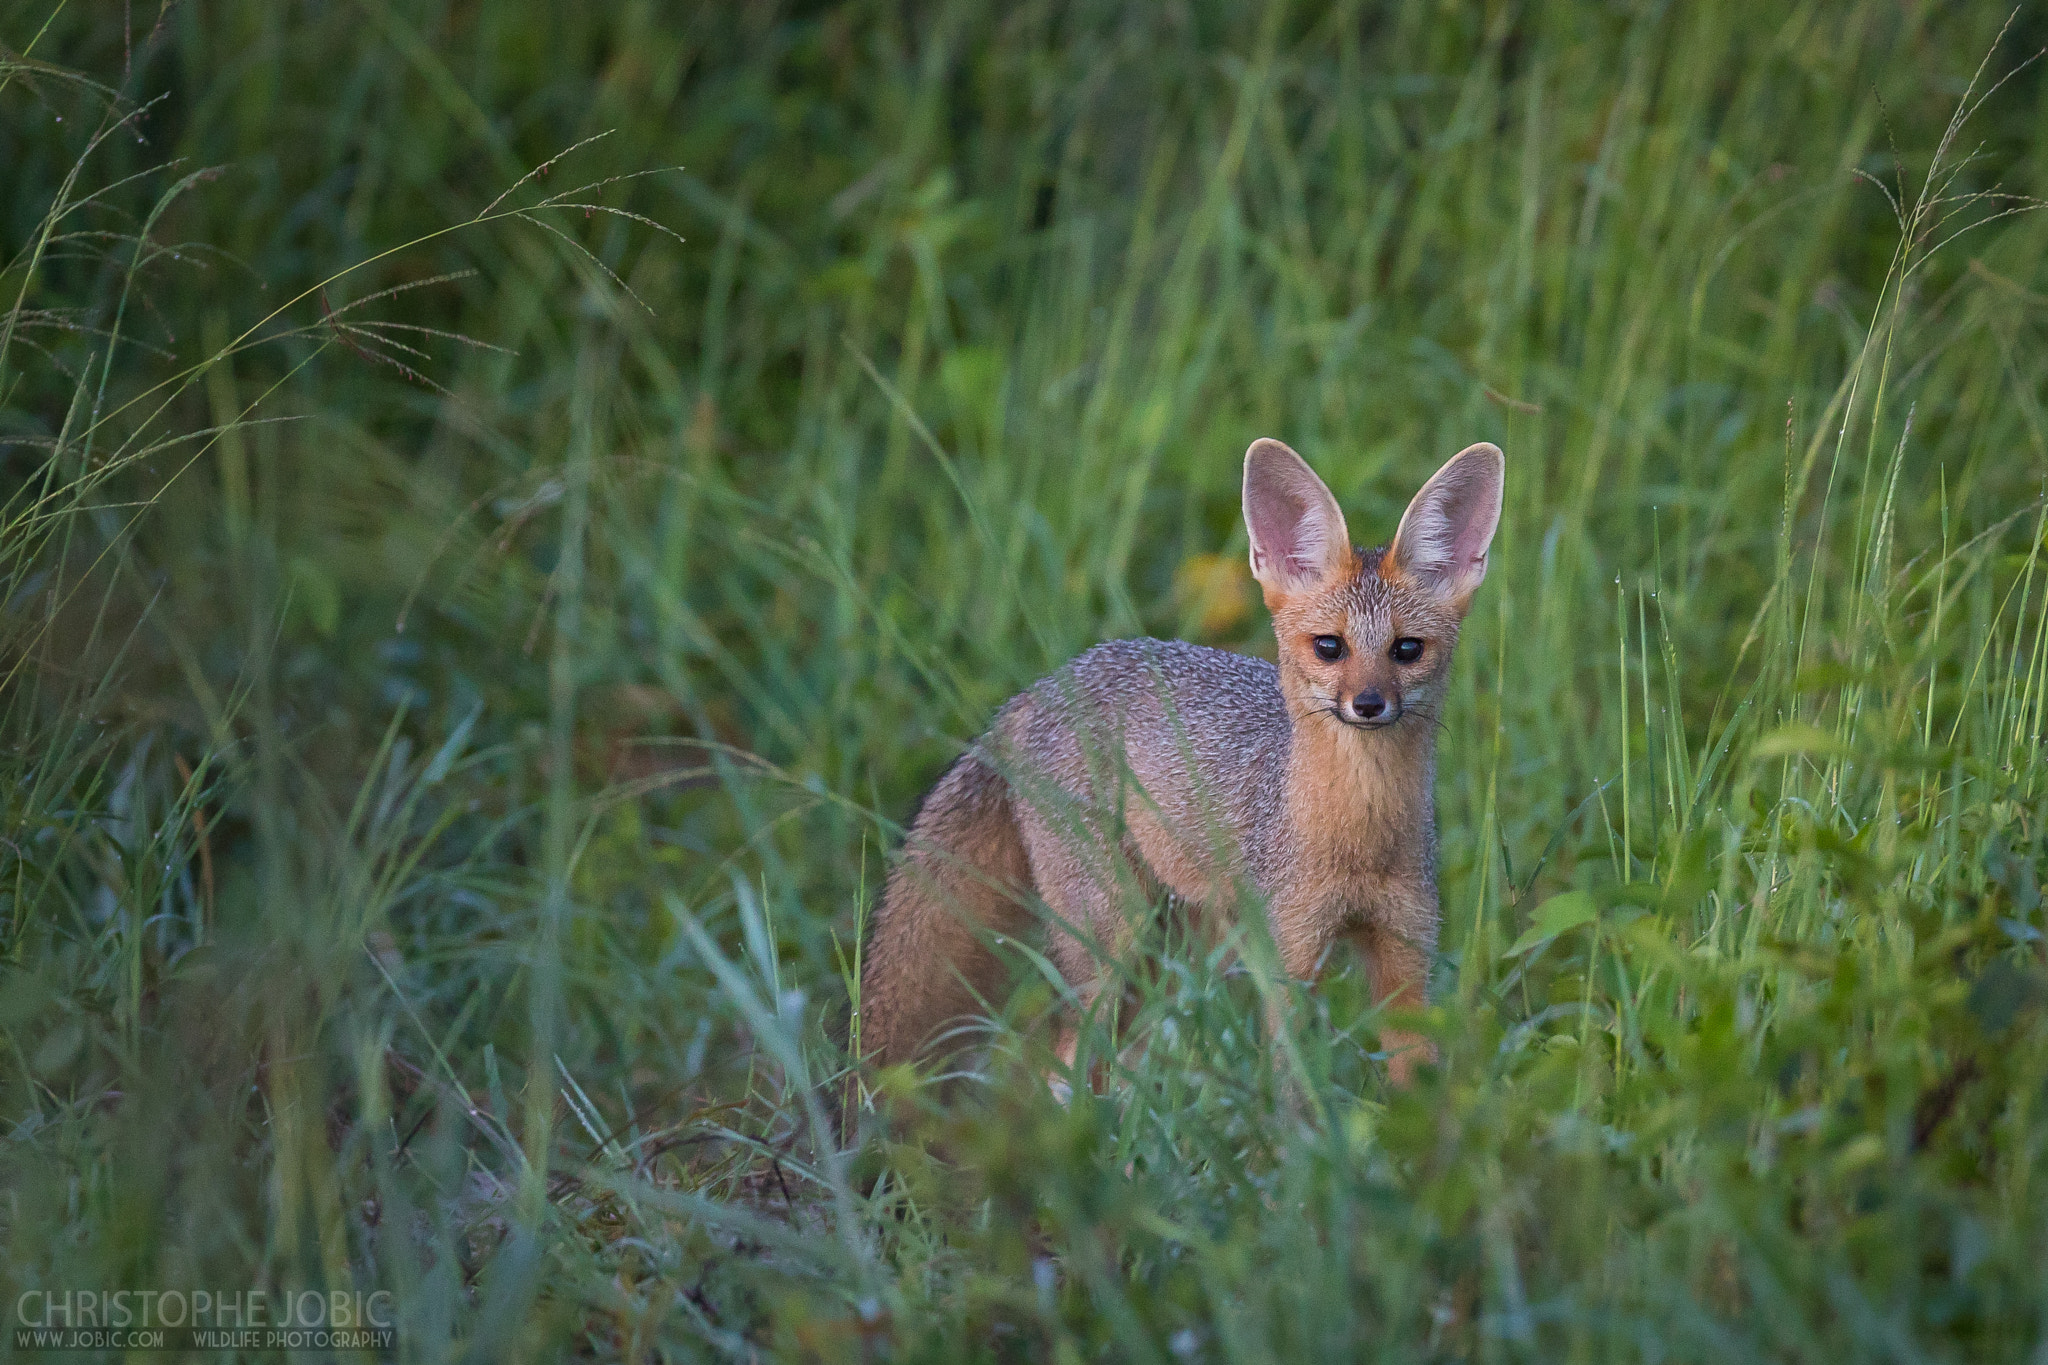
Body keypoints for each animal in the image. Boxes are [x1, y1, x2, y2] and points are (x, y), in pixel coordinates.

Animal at [851, 437, 1507, 1088]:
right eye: (1330, 647)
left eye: (1406, 650)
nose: (1368, 704)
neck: (1359, 841)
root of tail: (1044, 684)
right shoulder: (1289, 960)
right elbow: (1294, 1093)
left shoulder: (1406, 959)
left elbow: (1417, 1086)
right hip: (1113, 937)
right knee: (1069, 1061)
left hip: (1170, 953)